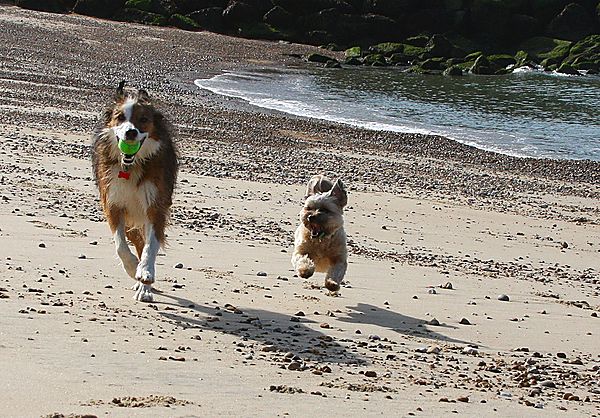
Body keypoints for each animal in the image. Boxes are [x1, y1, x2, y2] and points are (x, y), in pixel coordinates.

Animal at [90, 81, 177, 302]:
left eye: (143, 120)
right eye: (120, 117)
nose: (131, 132)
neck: (132, 165)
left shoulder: (155, 205)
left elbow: (150, 247)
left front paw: (144, 273)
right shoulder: (113, 202)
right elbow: (120, 245)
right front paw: (132, 268)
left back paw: (144, 288)